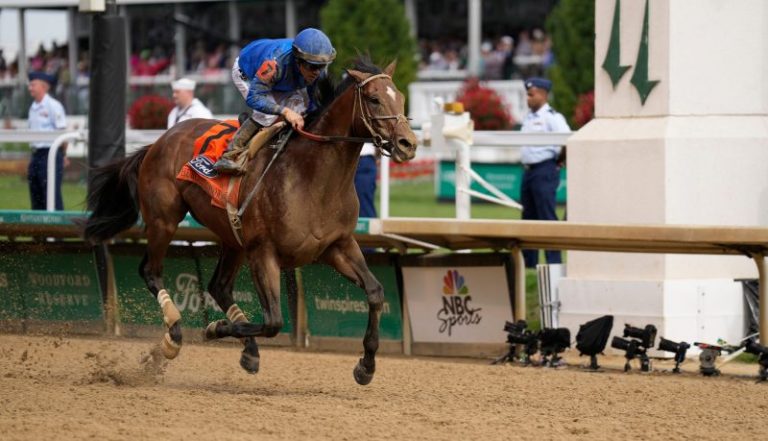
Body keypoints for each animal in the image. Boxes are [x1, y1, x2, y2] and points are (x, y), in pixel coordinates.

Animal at [83, 58, 418, 385]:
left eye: (401, 98)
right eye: (374, 99)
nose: (408, 143)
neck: (312, 176)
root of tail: (158, 142)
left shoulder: (338, 246)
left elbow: (375, 293)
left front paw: (366, 365)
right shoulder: (263, 251)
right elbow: (274, 321)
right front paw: (213, 328)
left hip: (232, 238)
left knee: (218, 286)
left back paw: (249, 350)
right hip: (164, 220)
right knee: (151, 272)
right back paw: (174, 336)